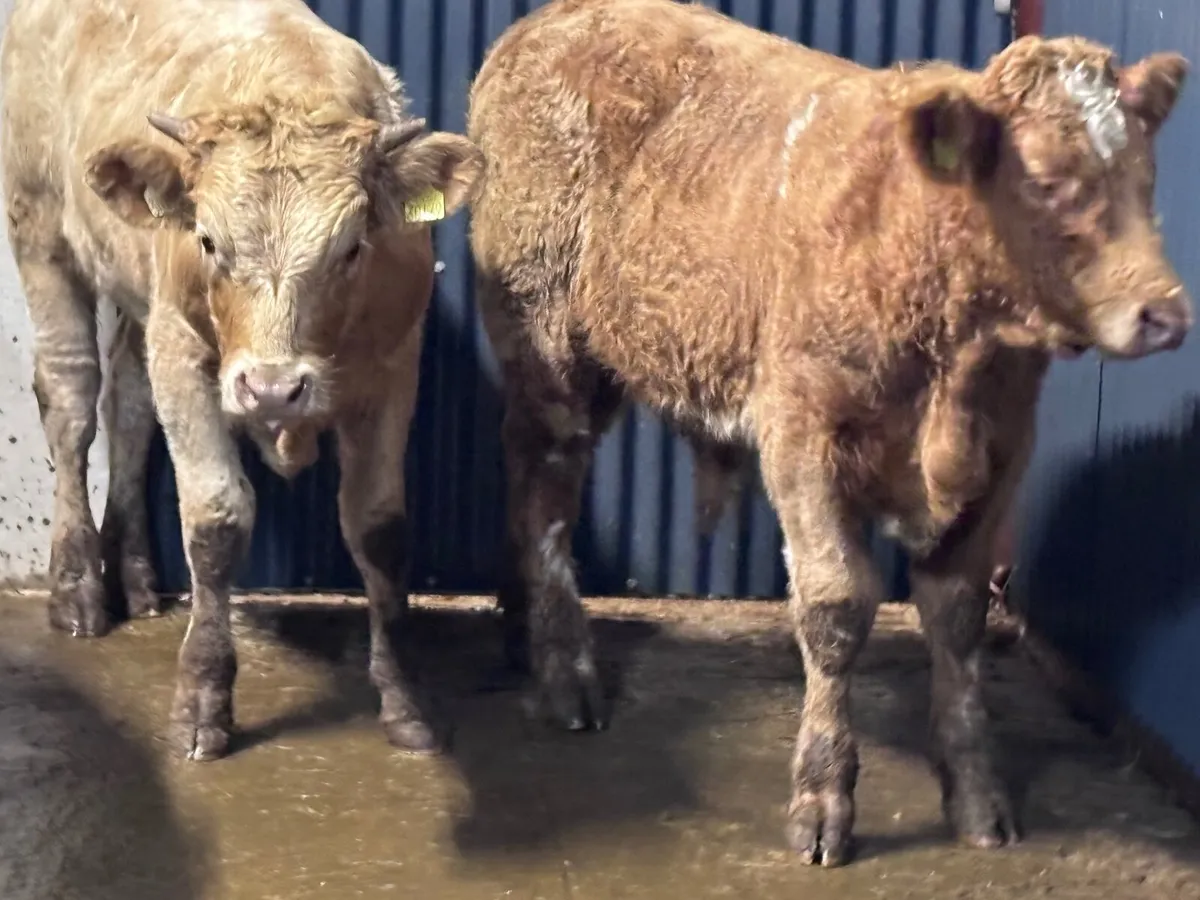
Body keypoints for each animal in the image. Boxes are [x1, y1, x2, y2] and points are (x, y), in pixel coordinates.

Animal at [0, 0, 483, 761]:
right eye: (207, 241)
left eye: (353, 248)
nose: (274, 389)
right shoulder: (184, 352)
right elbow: (216, 519)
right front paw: (203, 698)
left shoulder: (393, 363)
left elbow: (379, 526)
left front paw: (405, 699)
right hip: (40, 230)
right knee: (72, 401)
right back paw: (77, 588)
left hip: (138, 295)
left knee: (127, 404)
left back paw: (134, 573)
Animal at [467, 0, 1190, 867]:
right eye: (1047, 181)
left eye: (1149, 179)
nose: (1165, 313)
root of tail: (549, 21)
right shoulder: (801, 432)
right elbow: (836, 606)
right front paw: (822, 797)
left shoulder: (1004, 451)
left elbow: (957, 618)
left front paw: (977, 792)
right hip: (549, 344)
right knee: (546, 487)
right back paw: (564, 672)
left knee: (521, 470)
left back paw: (521, 634)